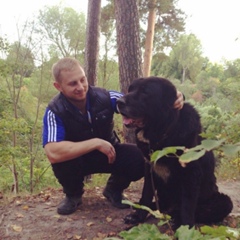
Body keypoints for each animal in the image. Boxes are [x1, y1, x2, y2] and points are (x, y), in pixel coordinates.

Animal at [117, 77, 233, 229]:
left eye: (145, 92)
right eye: (131, 89)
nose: (119, 102)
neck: (163, 134)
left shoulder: (191, 174)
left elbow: (188, 206)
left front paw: (186, 228)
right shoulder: (149, 168)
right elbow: (146, 195)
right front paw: (138, 215)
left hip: (224, 202)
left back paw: (176, 217)